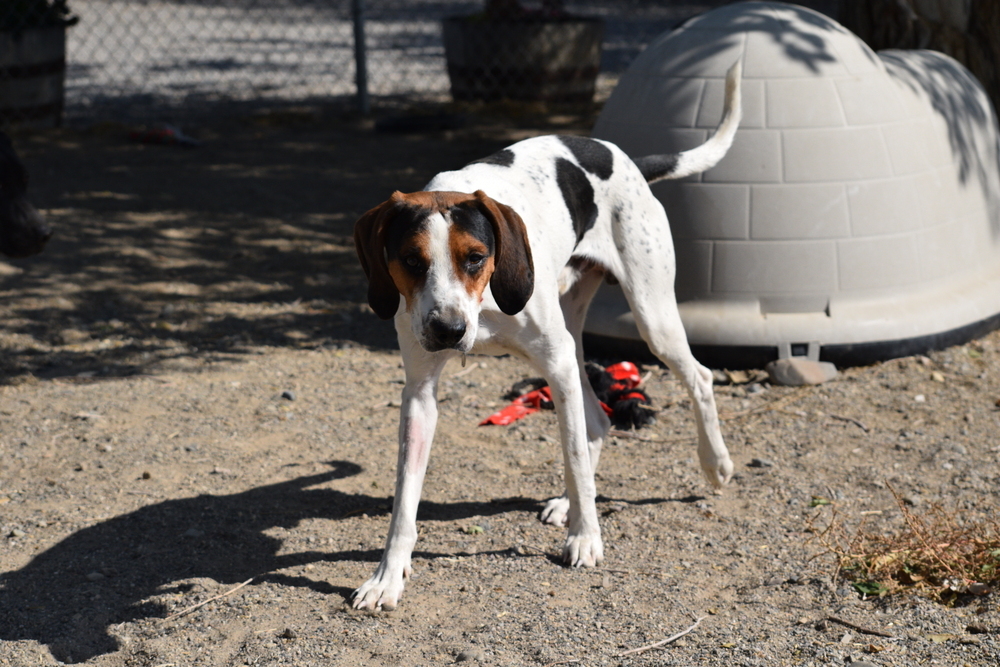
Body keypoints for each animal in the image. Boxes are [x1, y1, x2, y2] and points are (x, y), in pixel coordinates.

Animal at [354, 62, 744, 612]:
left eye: (475, 257)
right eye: (410, 260)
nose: (448, 331)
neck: (483, 303)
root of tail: (627, 159)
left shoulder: (555, 363)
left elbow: (574, 456)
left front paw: (587, 538)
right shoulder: (420, 396)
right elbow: (404, 500)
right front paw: (388, 577)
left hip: (650, 319)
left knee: (698, 378)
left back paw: (714, 465)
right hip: (574, 339)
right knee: (597, 420)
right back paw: (568, 503)